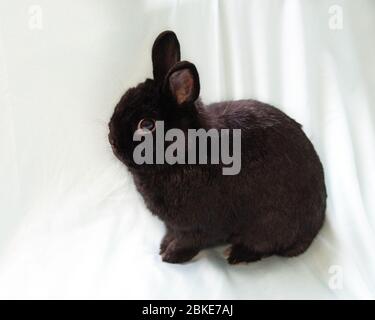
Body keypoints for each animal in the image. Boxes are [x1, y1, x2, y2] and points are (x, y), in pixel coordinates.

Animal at [108, 31, 326, 264]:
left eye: (147, 125)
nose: (112, 140)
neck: (187, 151)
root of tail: (316, 226)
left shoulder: (197, 227)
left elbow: (189, 241)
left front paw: (171, 256)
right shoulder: (174, 226)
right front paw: (163, 246)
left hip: (271, 223)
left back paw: (237, 254)